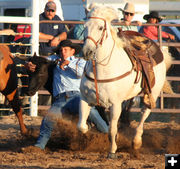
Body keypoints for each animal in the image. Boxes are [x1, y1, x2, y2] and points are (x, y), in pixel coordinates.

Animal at [77, 5, 172, 158]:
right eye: (85, 26)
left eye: (100, 28)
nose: (87, 52)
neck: (101, 70)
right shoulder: (85, 99)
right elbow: (81, 126)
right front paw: (91, 131)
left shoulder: (115, 104)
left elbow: (112, 129)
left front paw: (112, 151)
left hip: (152, 93)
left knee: (144, 113)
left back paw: (136, 141)